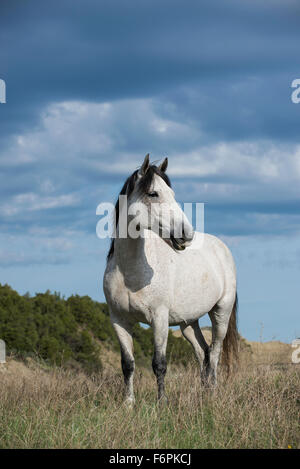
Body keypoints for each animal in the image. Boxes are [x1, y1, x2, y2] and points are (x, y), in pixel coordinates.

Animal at [104, 155, 238, 404]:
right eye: (153, 193)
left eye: (172, 193)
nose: (186, 234)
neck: (130, 274)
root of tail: (221, 248)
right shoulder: (119, 320)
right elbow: (127, 364)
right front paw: (128, 403)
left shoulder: (159, 318)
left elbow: (159, 364)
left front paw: (162, 402)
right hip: (188, 323)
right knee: (203, 353)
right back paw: (204, 392)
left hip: (221, 313)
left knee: (215, 352)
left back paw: (213, 393)